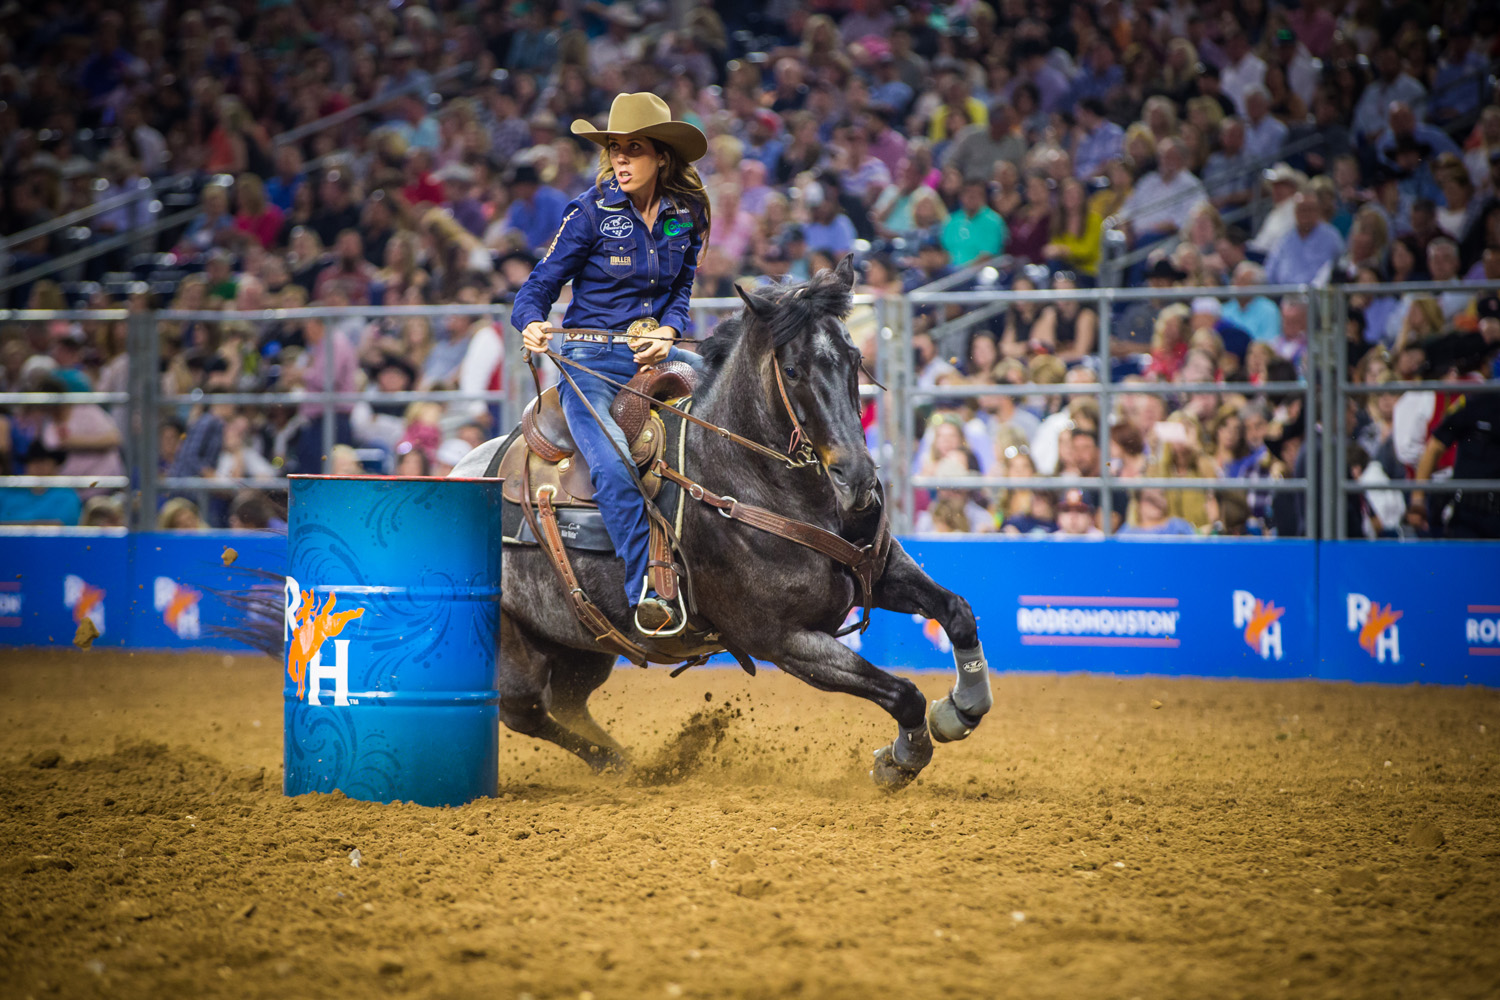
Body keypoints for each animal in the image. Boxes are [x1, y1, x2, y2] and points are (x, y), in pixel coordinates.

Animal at [456, 256, 996, 791]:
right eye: (792, 370)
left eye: (854, 357)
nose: (858, 480)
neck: (751, 478)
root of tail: (467, 469)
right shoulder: (783, 640)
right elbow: (903, 692)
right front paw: (901, 757)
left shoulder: (879, 571)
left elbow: (958, 611)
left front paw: (963, 708)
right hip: (514, 646)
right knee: (525, 709)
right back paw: (624, 765)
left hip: (583, 644)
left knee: (568, 703)